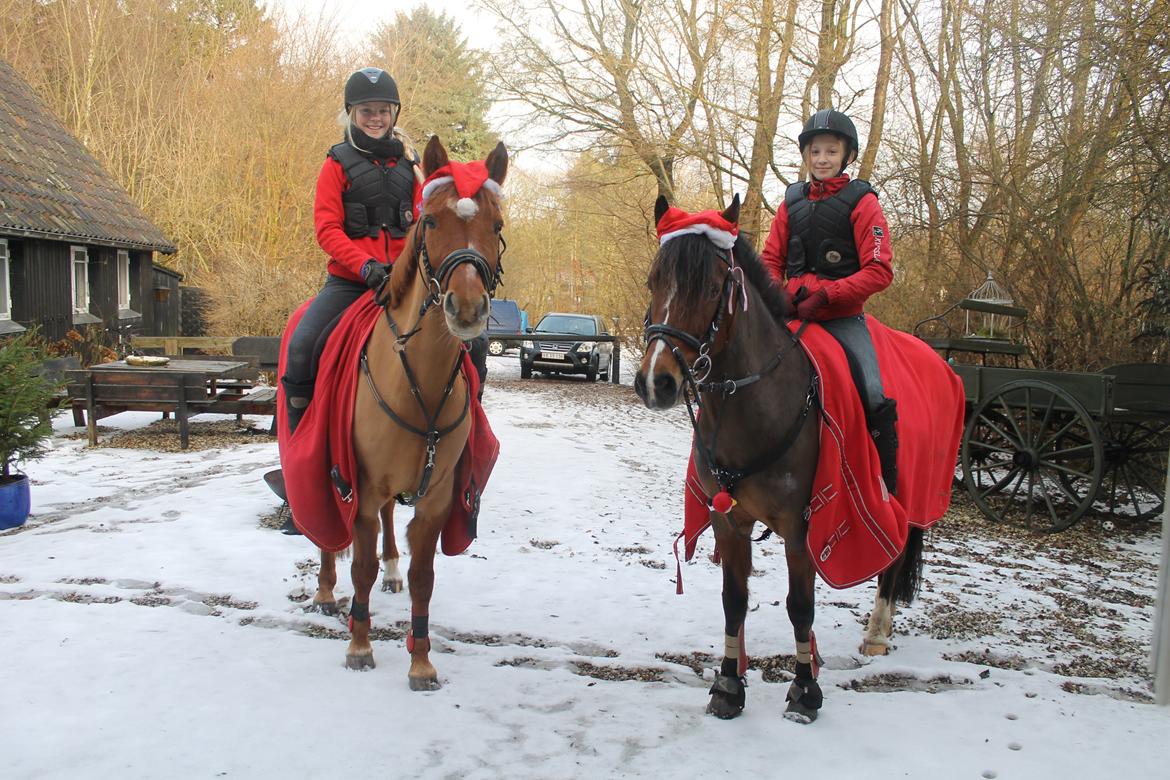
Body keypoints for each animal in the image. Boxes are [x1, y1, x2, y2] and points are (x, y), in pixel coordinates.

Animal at [311, 137, 507, 692]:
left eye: (496, 225)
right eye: (432, 221)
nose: (468, 309)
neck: (415, 379)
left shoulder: (437, 498)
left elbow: (424, 577)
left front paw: (421, 661)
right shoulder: (358, 486)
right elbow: (360, 567)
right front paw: (359, 645)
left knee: (388, 525)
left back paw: (392, 570)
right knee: (328, 533)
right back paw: (325, 591)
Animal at [631, 196, 921, 725]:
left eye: (711, 287)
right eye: (653, 281)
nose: (655, 383)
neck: (755, 404)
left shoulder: (802, 526)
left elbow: (800, 606)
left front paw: (805, 691)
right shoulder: (729, 521)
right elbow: (734, 601)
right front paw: (729, 686)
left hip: (905, 496)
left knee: (894, 558)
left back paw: (876, 633)